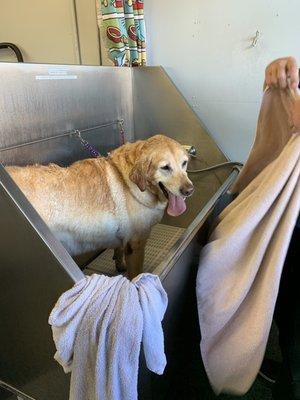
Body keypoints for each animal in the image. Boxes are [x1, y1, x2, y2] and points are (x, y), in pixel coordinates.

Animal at [7, 134, 195, 278]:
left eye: (184, 163)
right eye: (165, 167)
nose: (189, 190)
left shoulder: (123, 236)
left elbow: (118, 249)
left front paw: (119, 264)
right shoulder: (137, 243)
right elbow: (135, 273)